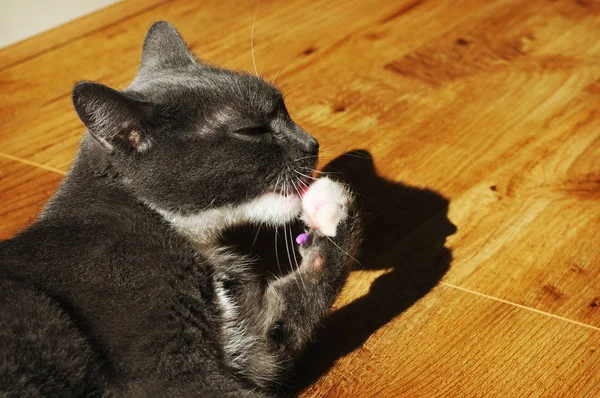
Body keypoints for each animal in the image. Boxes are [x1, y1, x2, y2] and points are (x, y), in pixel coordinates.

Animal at [0, 20, 360, 396]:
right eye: (251, 130)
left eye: (285, 109)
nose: (311, 143)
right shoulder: (167, 369)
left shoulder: (253, 343)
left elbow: (287, 319)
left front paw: (333, 209)